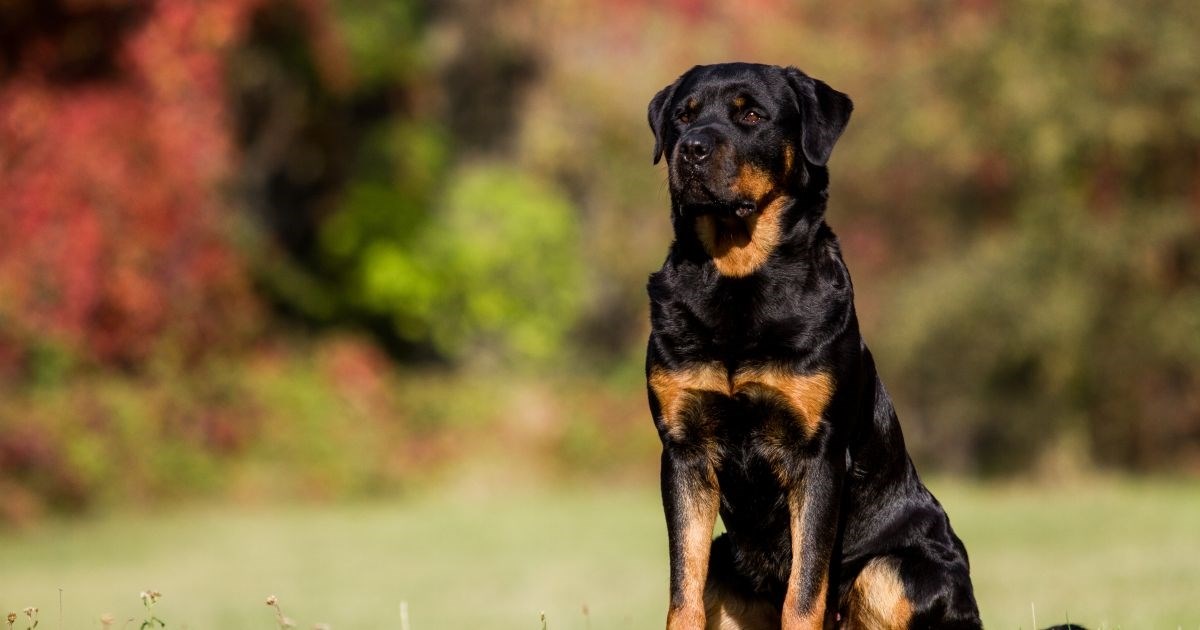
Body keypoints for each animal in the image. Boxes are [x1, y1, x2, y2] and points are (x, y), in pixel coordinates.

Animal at [648, 62, 984, 628]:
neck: (738, 279)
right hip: (725, 558)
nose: (690, 148)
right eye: (682, 117)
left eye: (751, 115)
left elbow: (805, 591)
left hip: (898, 568)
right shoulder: (683, 450)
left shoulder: (819, 455)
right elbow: (682, 588)